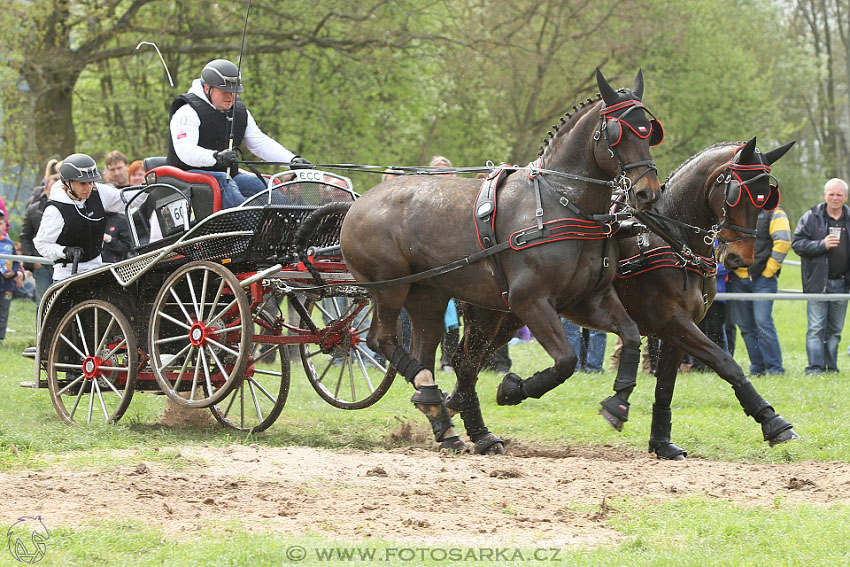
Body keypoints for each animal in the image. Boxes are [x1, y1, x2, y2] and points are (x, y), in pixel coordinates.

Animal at [340, 69, 664, 454]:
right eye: (618, 131)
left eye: (649, 130)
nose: (647, 192)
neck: (560, 202)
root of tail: (359, 202)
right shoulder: (531, 301)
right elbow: (566, 361)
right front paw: (512, 389)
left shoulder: (587, 300)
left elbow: (629, 335)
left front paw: (618, 404)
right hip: (391, 289)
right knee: (382, 340)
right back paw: (433, 398)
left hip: (434, 298)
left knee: (442, 356)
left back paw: (449, 425)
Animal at [608, 140, 796, 460]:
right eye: (735, 194)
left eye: (766, 199)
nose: (740, 259)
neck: (669, 240)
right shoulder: (674, 323)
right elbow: (725, 362)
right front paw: (771, 420)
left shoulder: (677, 330)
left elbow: (665, 386)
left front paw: (661, 443)